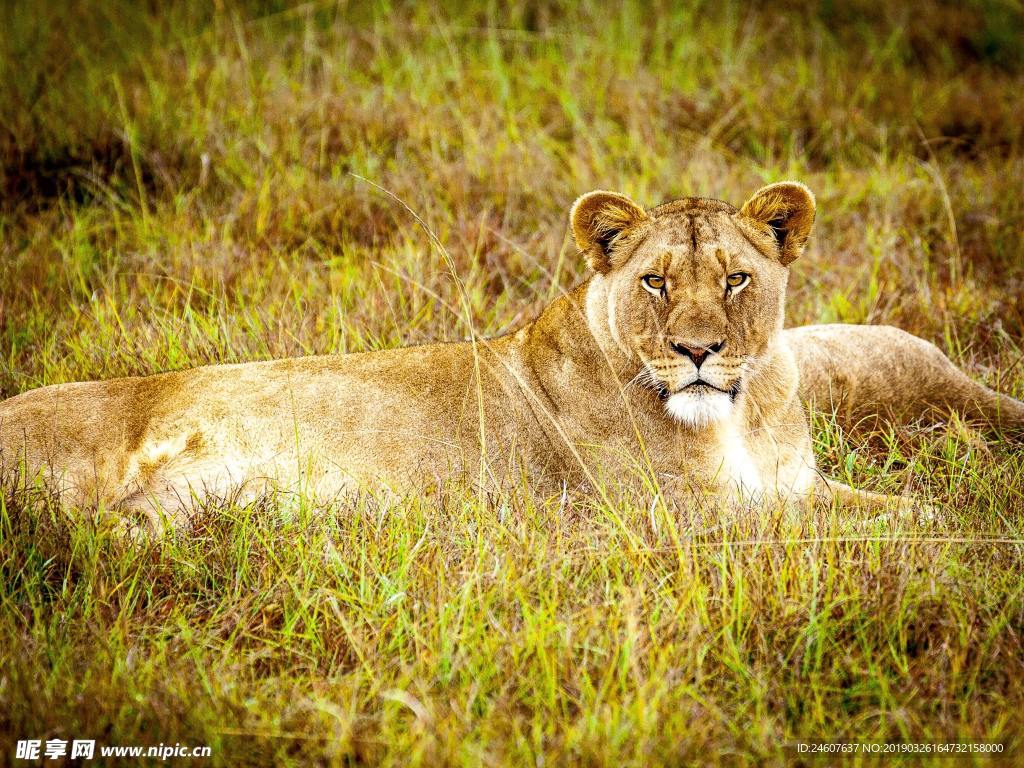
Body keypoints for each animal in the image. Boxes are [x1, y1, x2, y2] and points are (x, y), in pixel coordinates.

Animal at [2, 182, 1024, 532]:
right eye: (655, 282)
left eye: (737, 279)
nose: (698, 352)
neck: (735, 413)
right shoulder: (675, 520)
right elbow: (818, 538)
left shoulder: (796, 482)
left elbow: (907, 512)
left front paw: (942, 522)